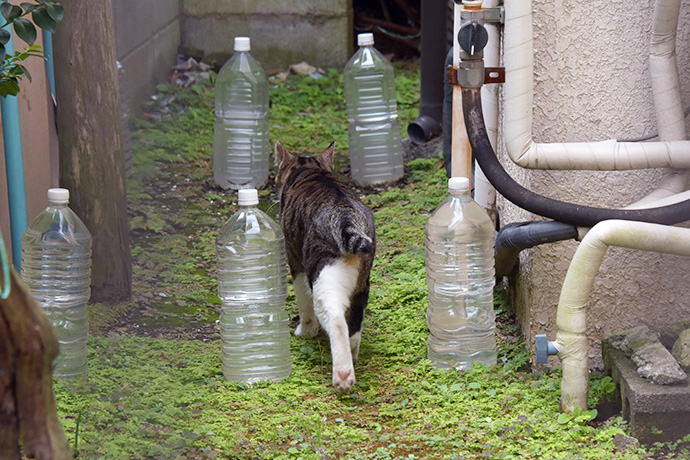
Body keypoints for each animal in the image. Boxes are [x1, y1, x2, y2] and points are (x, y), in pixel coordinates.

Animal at [272, 141, 374, 392]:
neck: (312, 171)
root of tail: (346, 215)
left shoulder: (296, 260)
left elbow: (303, 302)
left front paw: (307, 331)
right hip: (362, 283)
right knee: (353, 323)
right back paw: (353, 354)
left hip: (322, 277)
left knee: (336, 320)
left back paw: (343, 376)